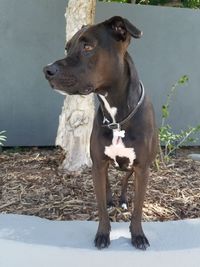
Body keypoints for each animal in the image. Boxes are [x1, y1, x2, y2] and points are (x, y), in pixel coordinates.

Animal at [43, 16, 156, 251]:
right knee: (107, 183)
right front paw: (103, 233)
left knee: (125, 180)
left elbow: (139, 208)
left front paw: (138, 235)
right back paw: (112, 199)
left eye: (88, 47)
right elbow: (101, 206)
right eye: (67, 48)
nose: (47, 70)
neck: (117, 119)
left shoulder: (143, 168)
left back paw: (123, 199)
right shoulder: (97, 163)